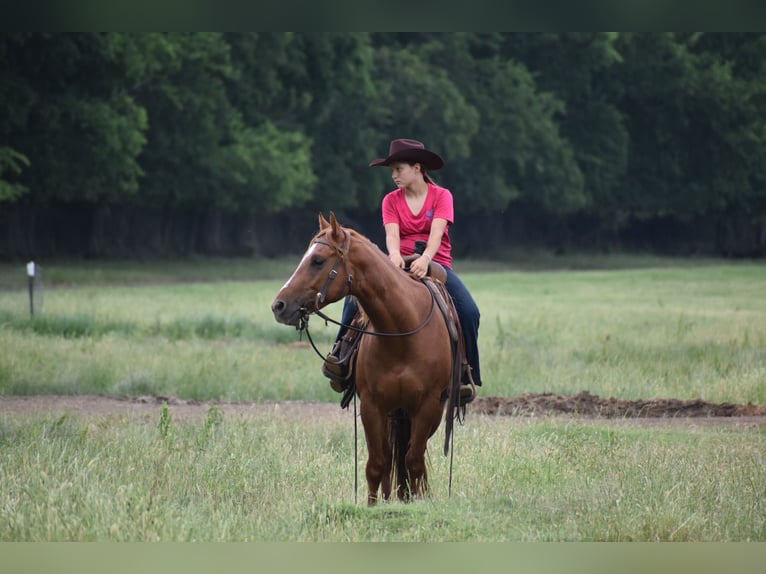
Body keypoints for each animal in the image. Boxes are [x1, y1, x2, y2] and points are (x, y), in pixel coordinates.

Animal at [271, 212, 462, 505]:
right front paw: (374, 507)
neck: (401, 331)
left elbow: (414, 461)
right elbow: (376, 465)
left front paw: (417, 501)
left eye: (318, 260)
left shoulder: (427, 406)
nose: (278, 306)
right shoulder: (372, 405)